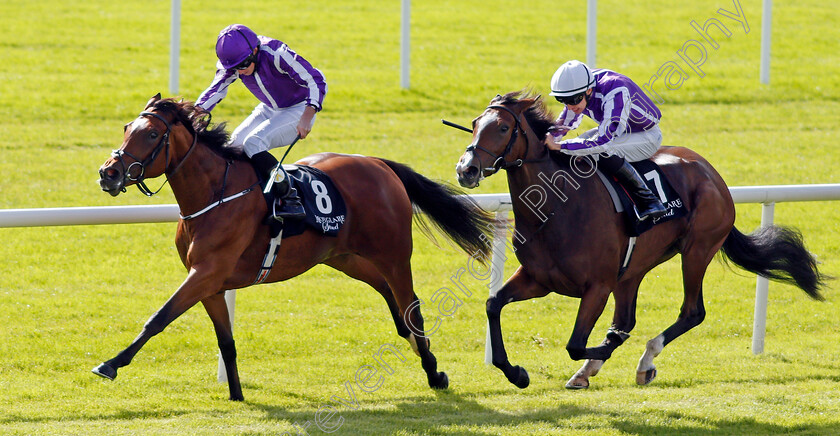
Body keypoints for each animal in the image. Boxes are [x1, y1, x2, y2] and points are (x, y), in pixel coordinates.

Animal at [96, 93, 498, 400]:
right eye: (127, 128)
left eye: (151, 134)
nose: (108, 173)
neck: (215, 194)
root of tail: (379, 163)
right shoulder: (211, 284)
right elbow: (226, 342)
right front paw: (237, 395)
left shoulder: (206, 272)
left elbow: (158, 317)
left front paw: (110, 364)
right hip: (345, 257)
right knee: (391, 298)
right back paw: (417, 349)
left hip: (394, 254)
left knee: (411, 307)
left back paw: (433, 372)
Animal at [452, 91, 828, 388]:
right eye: (474, 123)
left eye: (503, 128)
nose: (466, 169)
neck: (557, 209)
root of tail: (712, 173)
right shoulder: (538, 278)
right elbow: (493, 305)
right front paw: (516, 373)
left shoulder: (597, 286)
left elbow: (576, 344)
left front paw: (600, 351)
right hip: (632, 269)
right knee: (627, 319)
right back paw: (590, 370)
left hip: (698, 249)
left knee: (692, 312)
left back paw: (645, 360)